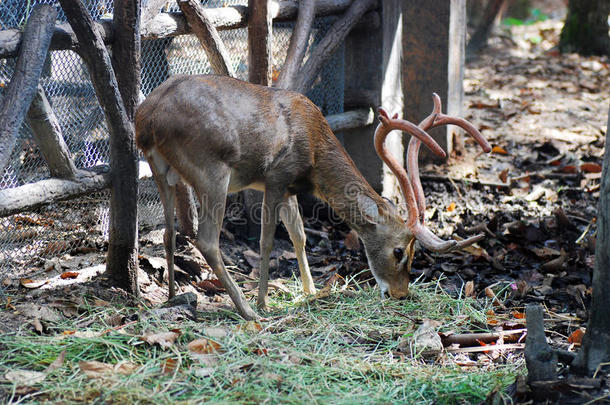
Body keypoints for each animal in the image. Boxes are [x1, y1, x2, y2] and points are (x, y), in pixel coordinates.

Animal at [137, 73, 490, 318]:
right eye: (399, 251)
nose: (400, 294)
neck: (316, 153)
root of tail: (148, 118)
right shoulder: (276, 176)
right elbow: (267, 241)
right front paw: (265, 302)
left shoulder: (289, 187)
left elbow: (299, 235)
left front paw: (311, 290)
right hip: (212, 170)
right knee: (207, 239)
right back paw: (248, 311)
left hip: (161, 169)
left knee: (167, 231)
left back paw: (171, 296)